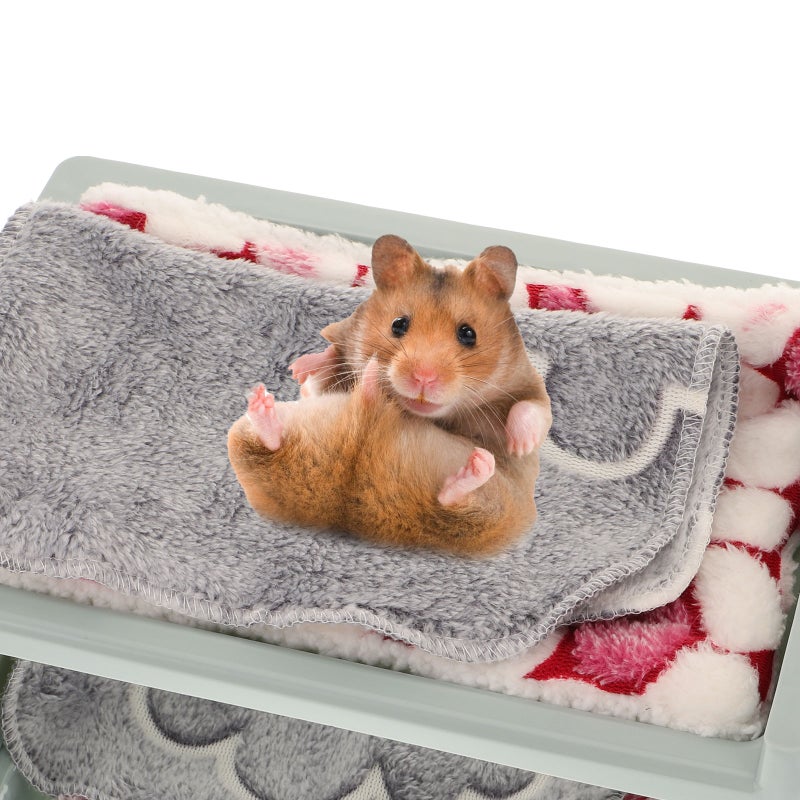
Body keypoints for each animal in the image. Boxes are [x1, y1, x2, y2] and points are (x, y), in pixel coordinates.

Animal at [227, 234, 552, 557]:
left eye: (468, 334)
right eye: (399, 324)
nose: (423, 377)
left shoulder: (529, 383)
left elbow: (531, 409)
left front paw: (519, 445)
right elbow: (320, 374)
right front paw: (299, 368)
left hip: (492, 514)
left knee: (454, 504)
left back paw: (478, 463)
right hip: (253, 446)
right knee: (270, 443)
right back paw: (268, 402)